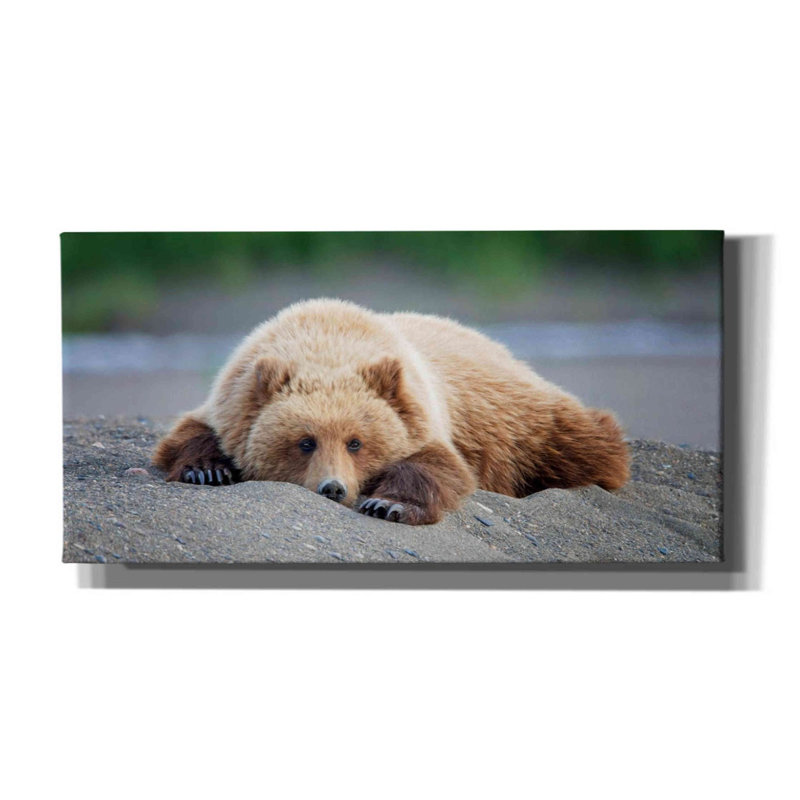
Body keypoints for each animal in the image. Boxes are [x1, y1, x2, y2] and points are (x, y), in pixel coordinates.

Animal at [153, 298, 630, 525]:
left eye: (356, 442)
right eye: (305, 441)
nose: (333, 488)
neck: (326, 340)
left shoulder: (421, 413)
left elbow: (437, 467)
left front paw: (387, 504)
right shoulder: (233, 398)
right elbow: (189, 433)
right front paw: (206, 470)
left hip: (517, 417)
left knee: (575, 441)